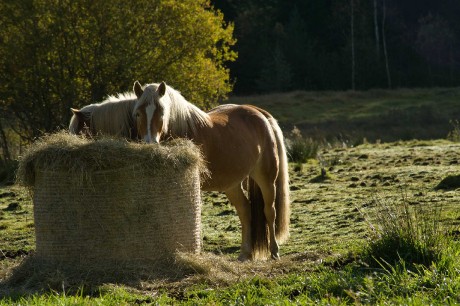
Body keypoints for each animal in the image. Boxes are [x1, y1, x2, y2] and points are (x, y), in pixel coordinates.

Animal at [131, 81, 290, 260]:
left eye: (162, 113)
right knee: (245, 211)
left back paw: (274, 251)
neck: (186, 129)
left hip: (266, 178)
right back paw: (244, 254)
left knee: (269, 211)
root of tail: (259, 114)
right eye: (138, 114)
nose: (150, 143)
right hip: (232, 185)